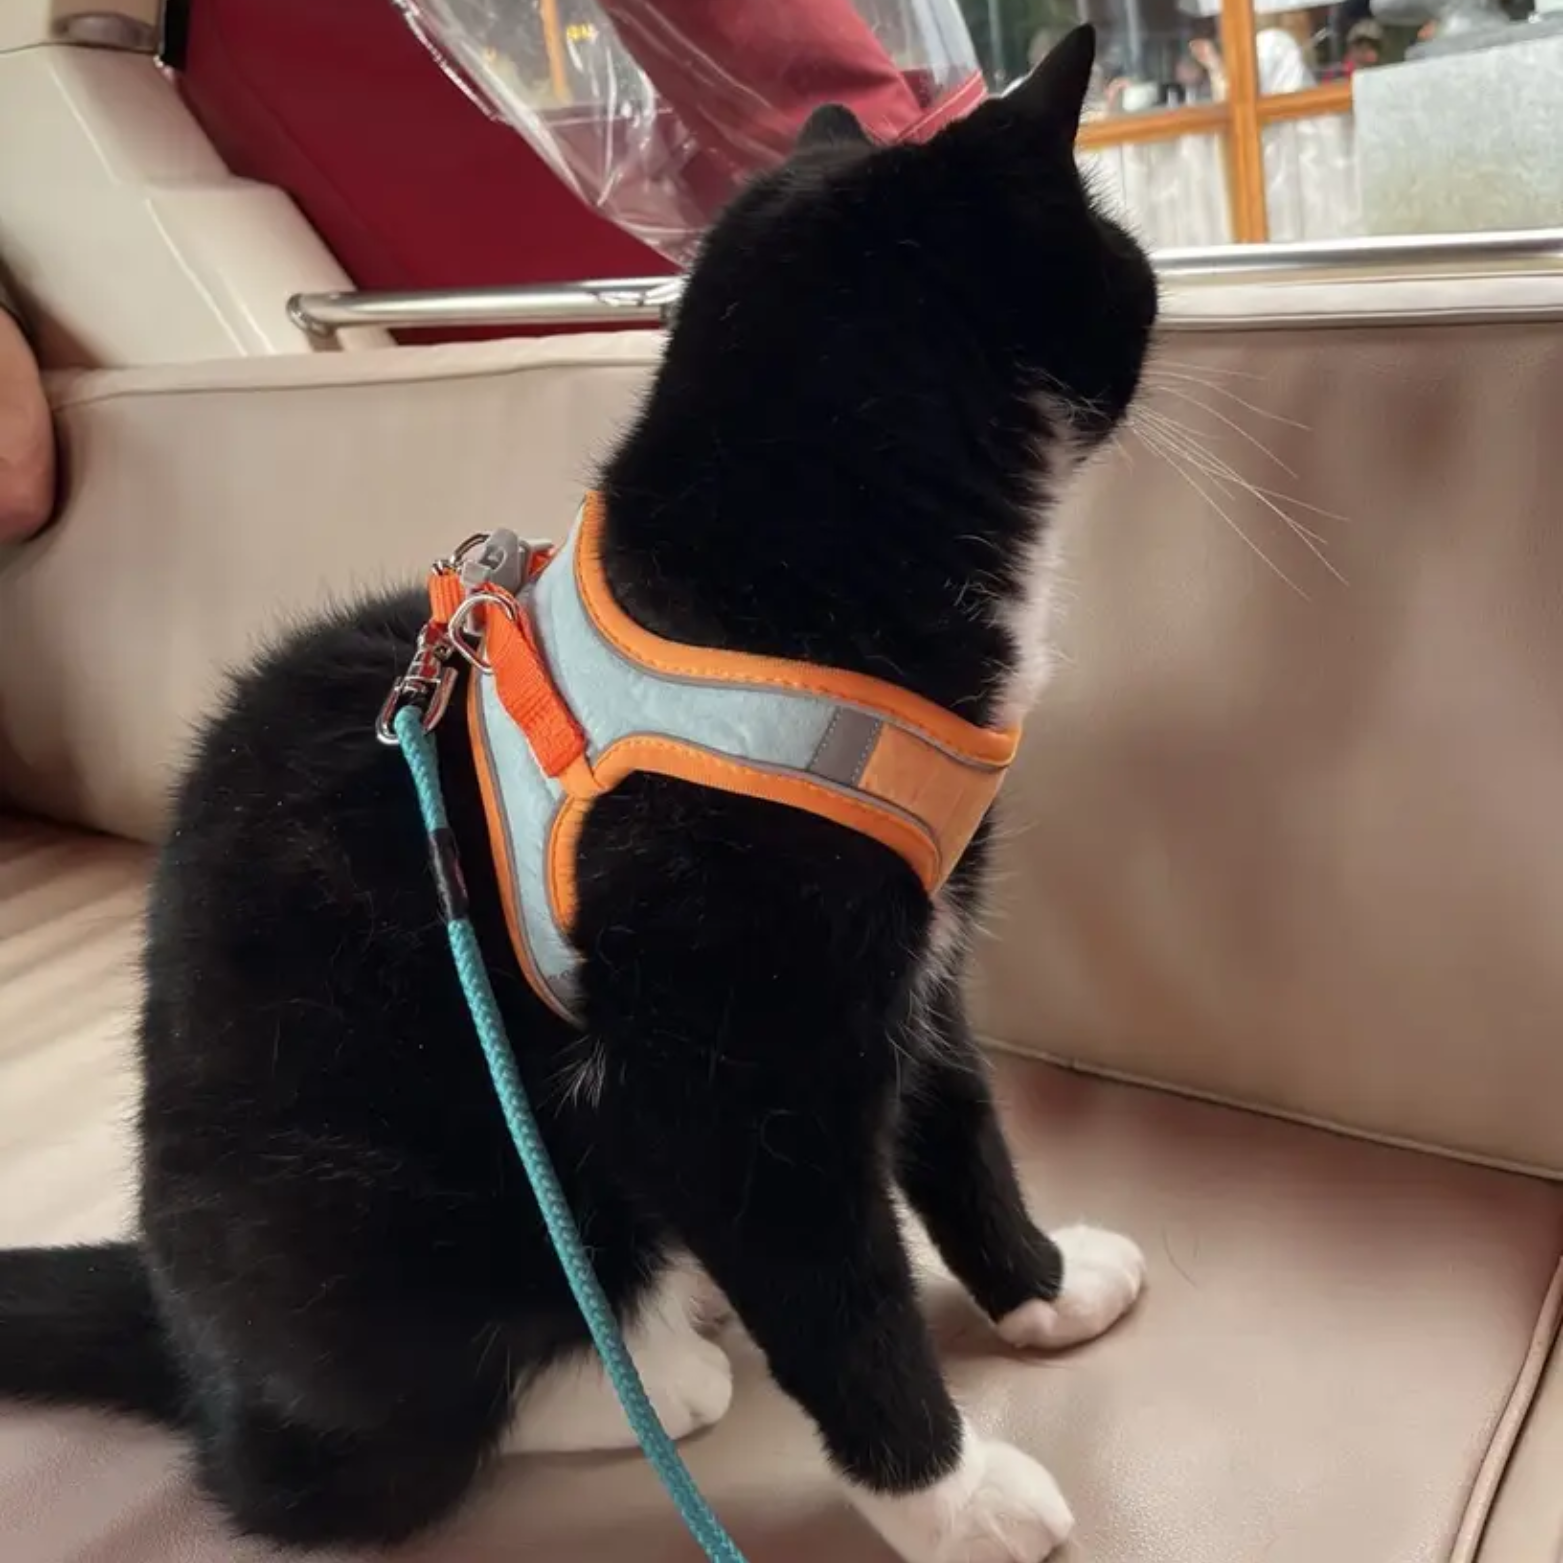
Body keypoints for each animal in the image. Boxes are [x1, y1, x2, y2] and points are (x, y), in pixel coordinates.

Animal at [0, 25, 1155, 1563]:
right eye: (1120, 255)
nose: (1150, 288)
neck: (777, 582)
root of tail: (180, 1333)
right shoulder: (718, 1063)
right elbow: (836, 1296)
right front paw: (949, 1495)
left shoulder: (913, 954)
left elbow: (956, 1121)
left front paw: (1039, 1286)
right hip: (371, 1210)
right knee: (321, 1465)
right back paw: (640, 1367)